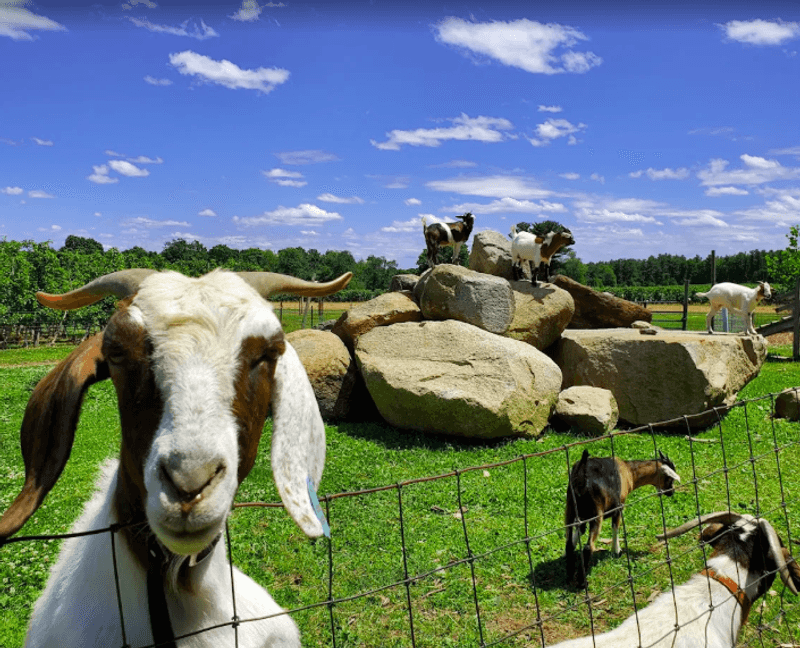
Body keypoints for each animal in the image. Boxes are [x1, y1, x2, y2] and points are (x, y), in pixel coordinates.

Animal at [565, 449, 680, 586]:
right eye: (669, 478)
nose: (671, 492)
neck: (629, 472)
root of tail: (582, 476)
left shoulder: (582, 516)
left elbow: (578, 534)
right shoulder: (619, 506)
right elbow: (615, 527)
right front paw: (617, 551)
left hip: (570, 508)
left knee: (568, 543)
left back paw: (570, 574)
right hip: (597, 513)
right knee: (588, 547)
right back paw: (583, 583)